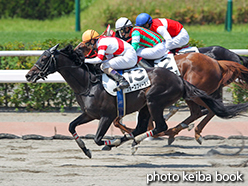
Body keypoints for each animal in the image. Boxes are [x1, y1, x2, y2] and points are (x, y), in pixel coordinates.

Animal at [25, 44, 248, 158]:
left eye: (43, 59)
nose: (28, 75)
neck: (88, 82)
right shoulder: (89, 114)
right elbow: (71, 126)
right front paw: (85, 149)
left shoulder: (106, 116)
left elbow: (98, 137)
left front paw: (110, 142)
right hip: (149, 105)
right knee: (151, 125)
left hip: (154, 100)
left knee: (164, 124)